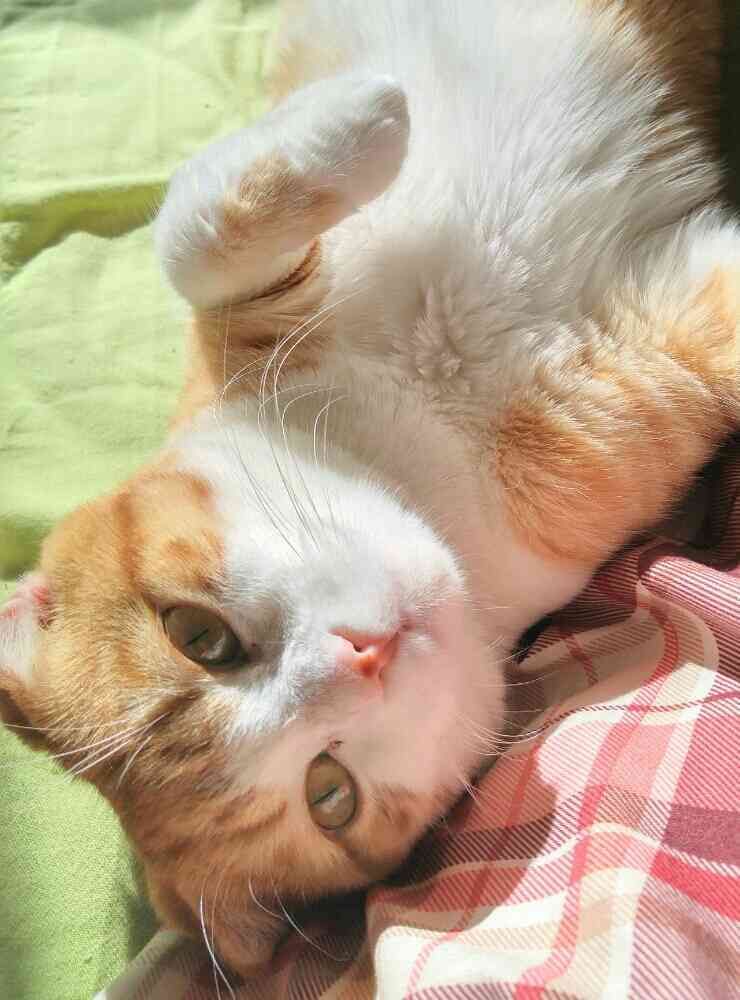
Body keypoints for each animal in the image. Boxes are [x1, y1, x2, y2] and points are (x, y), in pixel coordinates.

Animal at [1, 0, 738, 980]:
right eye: (330, 794)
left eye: (199, 637)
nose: (365, 654)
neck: (421, 440)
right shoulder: (654, 369)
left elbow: (190, 233)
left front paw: (362, 115)